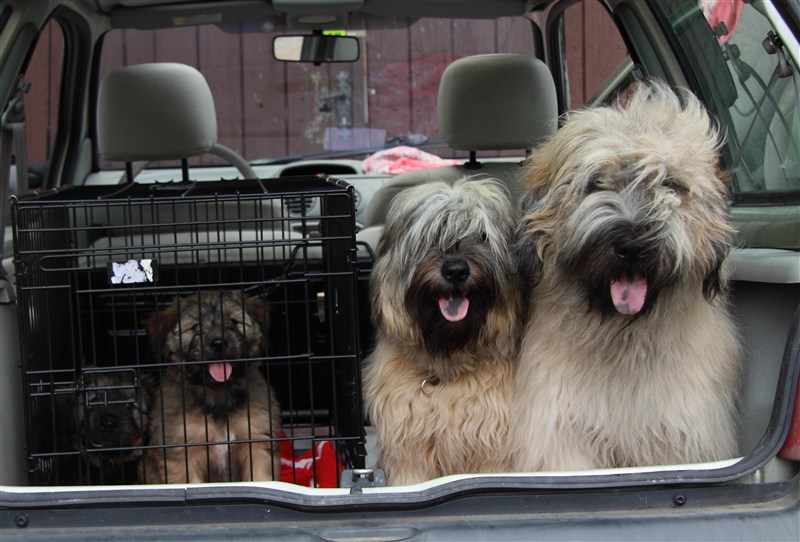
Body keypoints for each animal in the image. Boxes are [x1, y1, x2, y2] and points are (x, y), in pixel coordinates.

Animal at [140, 290, 281, 483]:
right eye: (196, 327)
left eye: (232, 321)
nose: (218, 343)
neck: (218, 392)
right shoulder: (183, 452)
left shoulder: (256, 441)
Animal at [363, 177, 522, 485]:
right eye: (430, 234)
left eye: (482, 235)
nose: (456, 270)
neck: (446, 369)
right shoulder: (409, 455)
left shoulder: (492, 451)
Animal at [510, 81, 741, 471]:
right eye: (595, 184)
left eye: (671, 185)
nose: (633, 245)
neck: (622, 334)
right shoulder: (560, 431)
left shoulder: (676, 434)